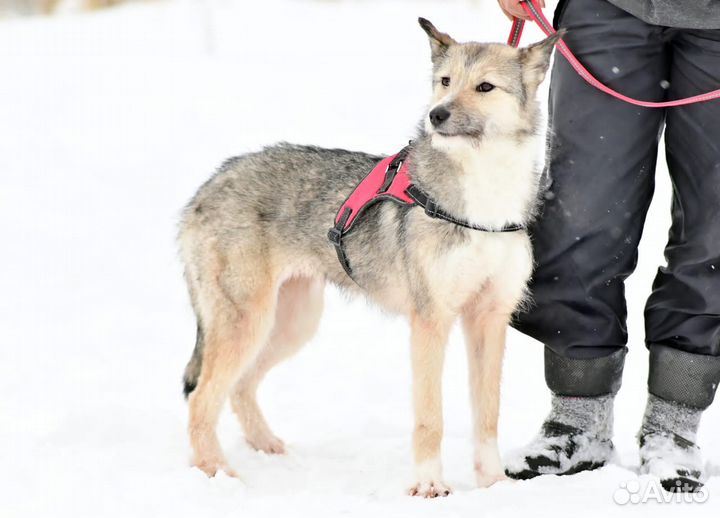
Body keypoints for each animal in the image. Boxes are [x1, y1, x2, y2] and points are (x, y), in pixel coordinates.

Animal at [180, 18, 564, 498]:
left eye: (485, 87)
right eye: (445, 82)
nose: (436, 115)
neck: (482, 205)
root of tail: (206, 186)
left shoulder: (489, 319)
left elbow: (488, 415)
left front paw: (493, 483)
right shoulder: (431, 321)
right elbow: (430, 417)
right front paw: (429, 486)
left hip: (290, 324)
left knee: (239, 388)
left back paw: (268, 447)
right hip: (247, 322)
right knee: (201, 399)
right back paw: (217, 473)